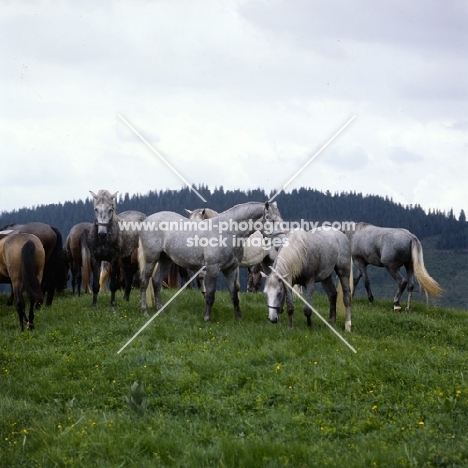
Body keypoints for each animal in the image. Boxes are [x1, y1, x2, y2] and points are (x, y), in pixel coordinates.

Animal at [139, 201, 284, 322]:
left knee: (156, 281)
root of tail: (147, 220)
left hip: (165, 260)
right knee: (144, 282)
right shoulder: (213, 269)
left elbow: (234, 294)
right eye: (271, 220)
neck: (227, 232)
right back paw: (144, 311)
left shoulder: (231, 269)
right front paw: (207, 318)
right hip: (151, 260)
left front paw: (239, 318)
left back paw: (160, 310)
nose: (282, 241)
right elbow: (210, 294)